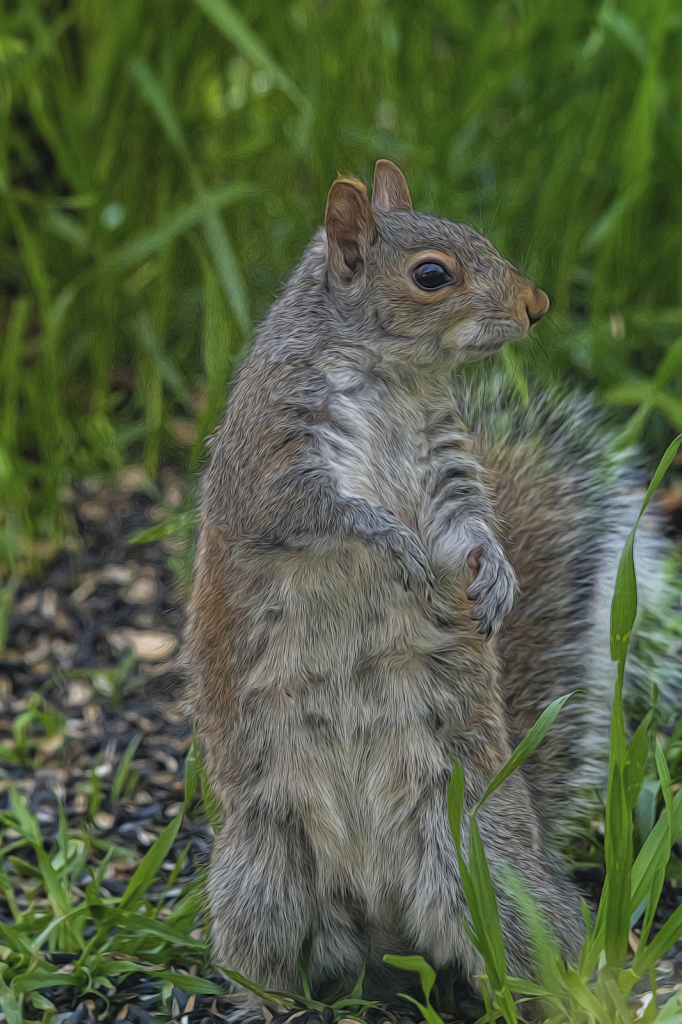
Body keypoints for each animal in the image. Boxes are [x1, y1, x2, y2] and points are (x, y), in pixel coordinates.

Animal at [180, 159, 675, 1015]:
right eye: (432, 275)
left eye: (482, 237)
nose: (537, 305)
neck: (392, 379)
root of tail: (383, 919)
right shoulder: (273, 460)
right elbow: (323, 512)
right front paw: (391, 543)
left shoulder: (444, 463)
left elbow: (464, 526)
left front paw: (496, 573)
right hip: (261, 875)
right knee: (276, 965)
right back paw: (266, 1003)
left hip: (484, 866)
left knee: (521, 954)